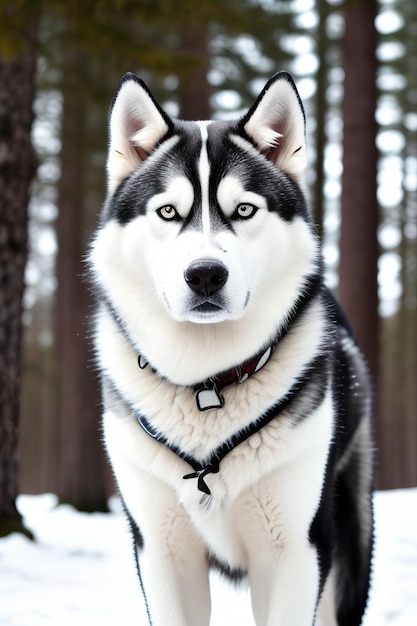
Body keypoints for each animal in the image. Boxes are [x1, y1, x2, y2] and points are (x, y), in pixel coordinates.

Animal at [88, 70, 374, 624]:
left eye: (243, 209)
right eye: (168, 211)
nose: (204, 274)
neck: (207, 381)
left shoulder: (296, 549)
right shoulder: (161, 550)